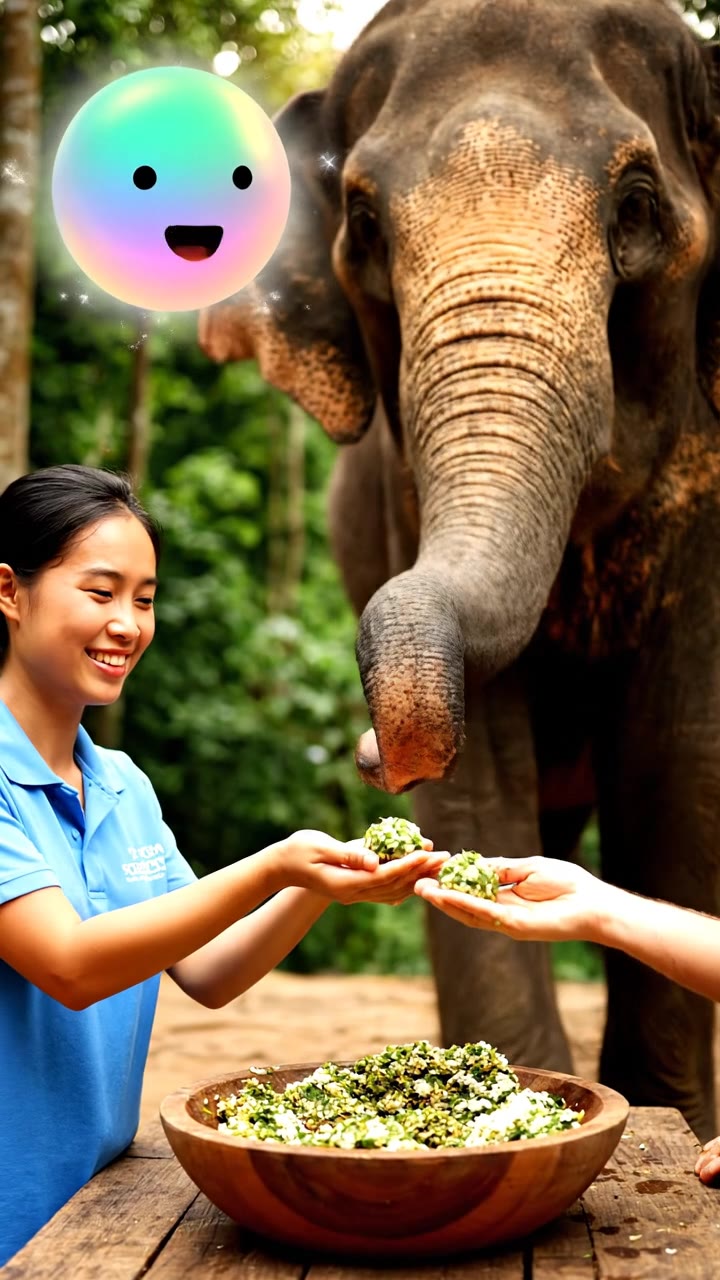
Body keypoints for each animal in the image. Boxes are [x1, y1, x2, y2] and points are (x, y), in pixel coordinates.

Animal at [199, 0, 720, 1141]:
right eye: (363, 224)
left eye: (637, 206)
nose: (366, 750)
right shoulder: (397, 498)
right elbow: (485, 786)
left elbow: (680, 753)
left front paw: (667, 1117)